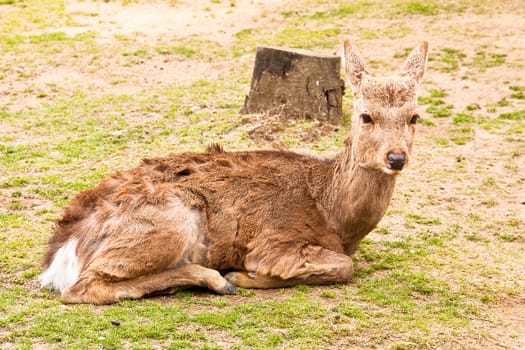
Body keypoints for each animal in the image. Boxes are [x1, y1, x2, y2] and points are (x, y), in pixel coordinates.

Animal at [39, 39, 428, 304]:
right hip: (169, 222)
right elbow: (343, 267)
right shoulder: (275, 242)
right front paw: (244, 275)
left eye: (414, 117)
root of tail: (60, 251)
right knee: (82, 288)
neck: (335, 216)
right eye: (366, 116)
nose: (396, 157)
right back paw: (216, 278)